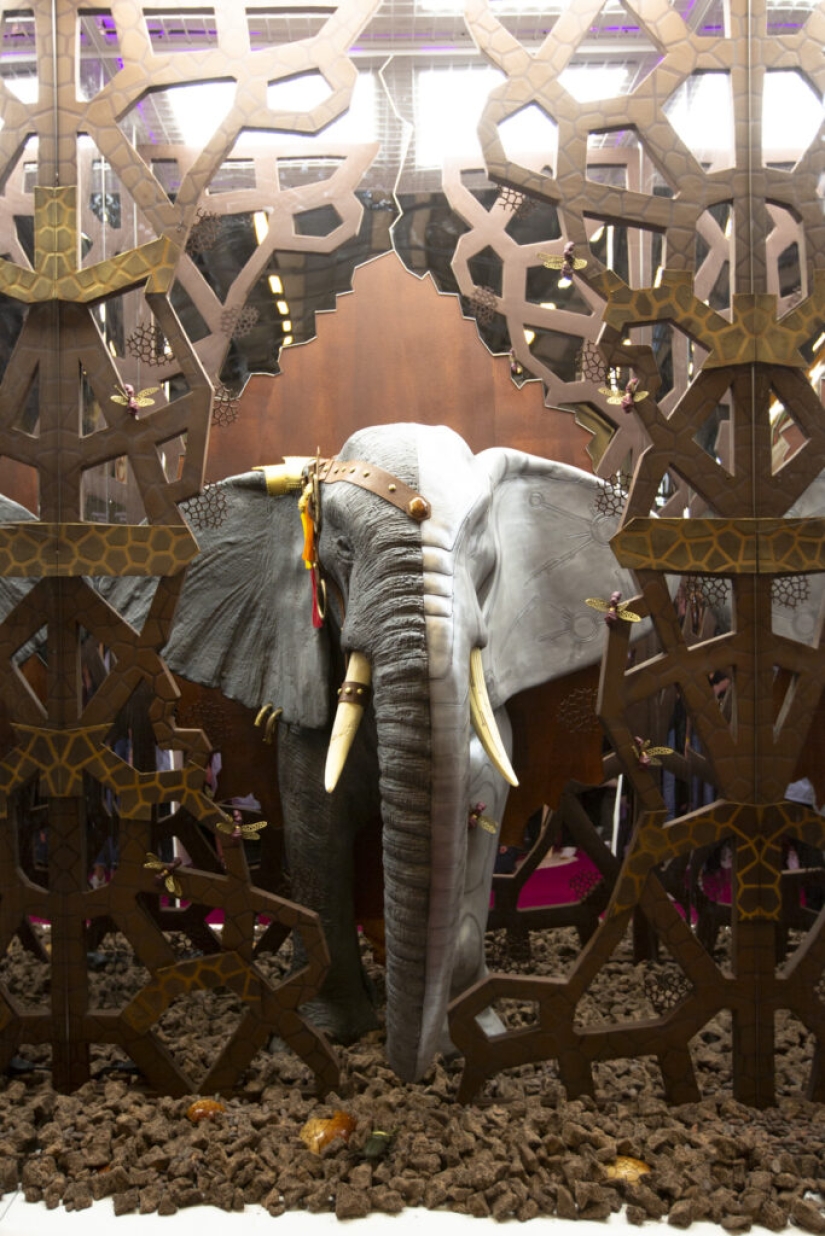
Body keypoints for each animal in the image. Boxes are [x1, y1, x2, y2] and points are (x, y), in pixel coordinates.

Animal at [103, 420, 639, 1083]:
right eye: (341, 549)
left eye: (481, 552)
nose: (410, 1072)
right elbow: (317, 835)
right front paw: (327, 1036)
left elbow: (479, 830)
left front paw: (474, 1038)